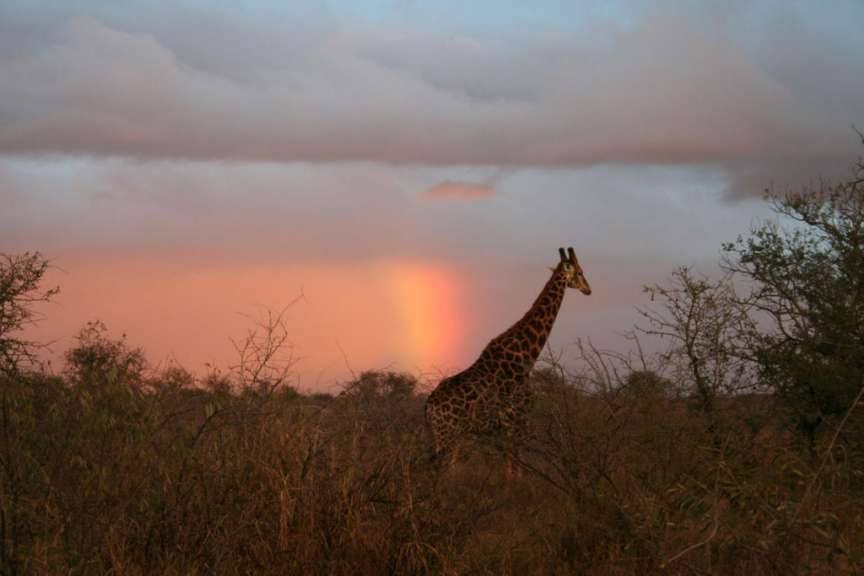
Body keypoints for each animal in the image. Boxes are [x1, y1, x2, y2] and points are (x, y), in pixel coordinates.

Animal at [425, 247, 591, 465]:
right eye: (580, 272)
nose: (589, 290)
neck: (527, 354)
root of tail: (428, 407)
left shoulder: (506, 428)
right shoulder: (518, 420)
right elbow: (515, 468)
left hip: (445, 438)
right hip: (448, 436)